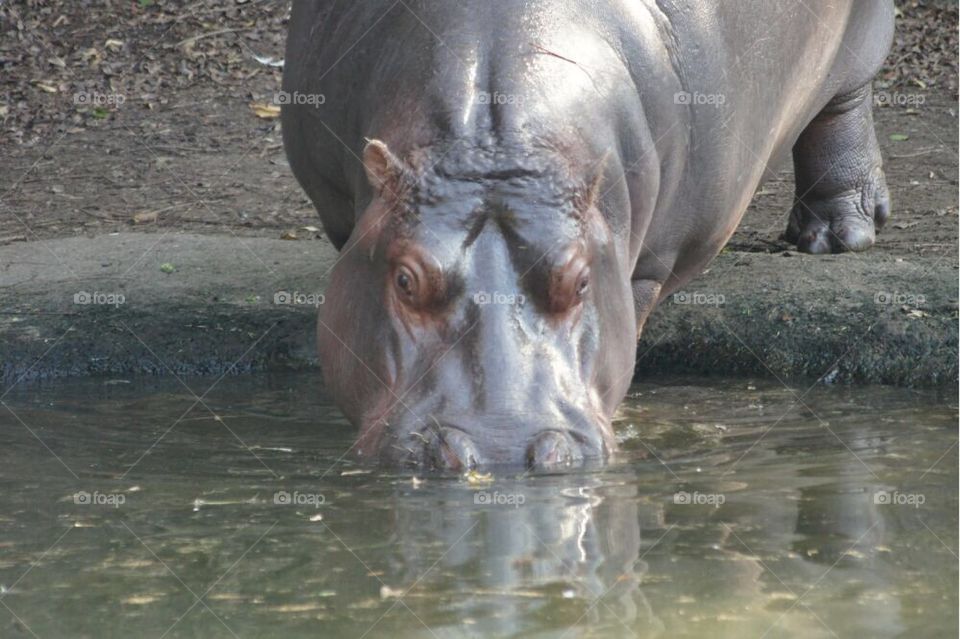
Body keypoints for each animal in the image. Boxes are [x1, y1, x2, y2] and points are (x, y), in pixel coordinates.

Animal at [281, 0, 894, 470]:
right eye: (406, 280)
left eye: (580, 282)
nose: (501, 447)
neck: (495, 151)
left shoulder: (648, 266)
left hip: (858, 45)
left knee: (844, 103)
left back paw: (839, 234)